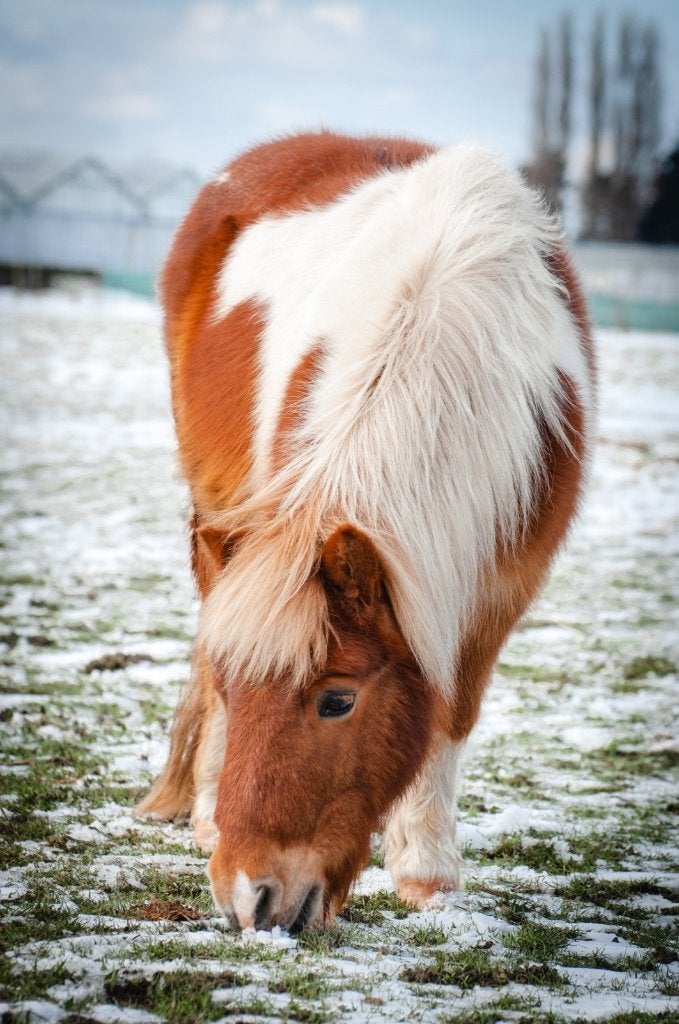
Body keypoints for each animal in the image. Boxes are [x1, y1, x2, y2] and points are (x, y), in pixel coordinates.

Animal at [137, 131, 595, 931]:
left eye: (337, 700)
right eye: (239, 688)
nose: (248, 897)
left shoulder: (499, 589)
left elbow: (452, 712)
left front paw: (429, 876)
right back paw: (204, 812)